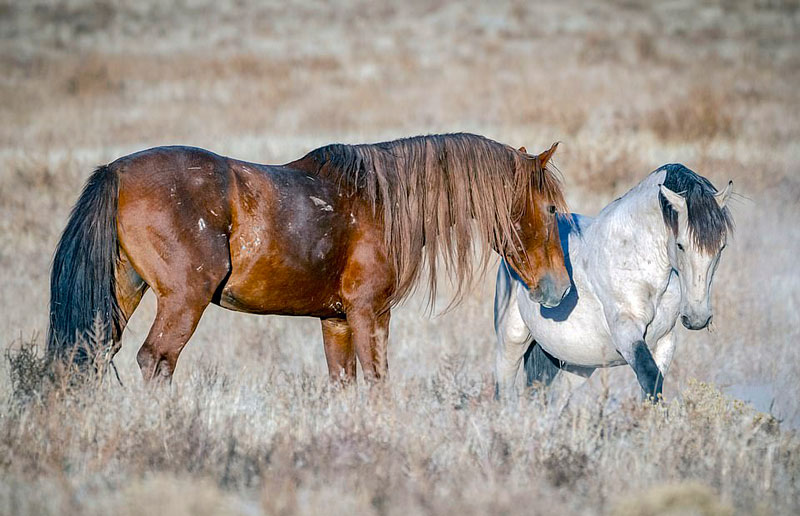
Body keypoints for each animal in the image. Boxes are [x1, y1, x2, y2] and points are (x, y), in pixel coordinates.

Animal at [48, 133, 568, 382]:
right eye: (549, 210)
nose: (560, 288)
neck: (382, 204)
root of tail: (116, 172)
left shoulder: (335, 320)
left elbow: (343, 383)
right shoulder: (370, 313)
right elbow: (377, 382)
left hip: (122, 292)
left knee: (89, 353)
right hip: (183, 300)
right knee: (156, 360)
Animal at [496, 164, 736, 400]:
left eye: (722, 246)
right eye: (680, 245)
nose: (697, 319)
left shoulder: (665, 342)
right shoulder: (626, 333)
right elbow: (651, 379)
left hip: (576, 365)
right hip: (512, 340)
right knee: (505, 390)